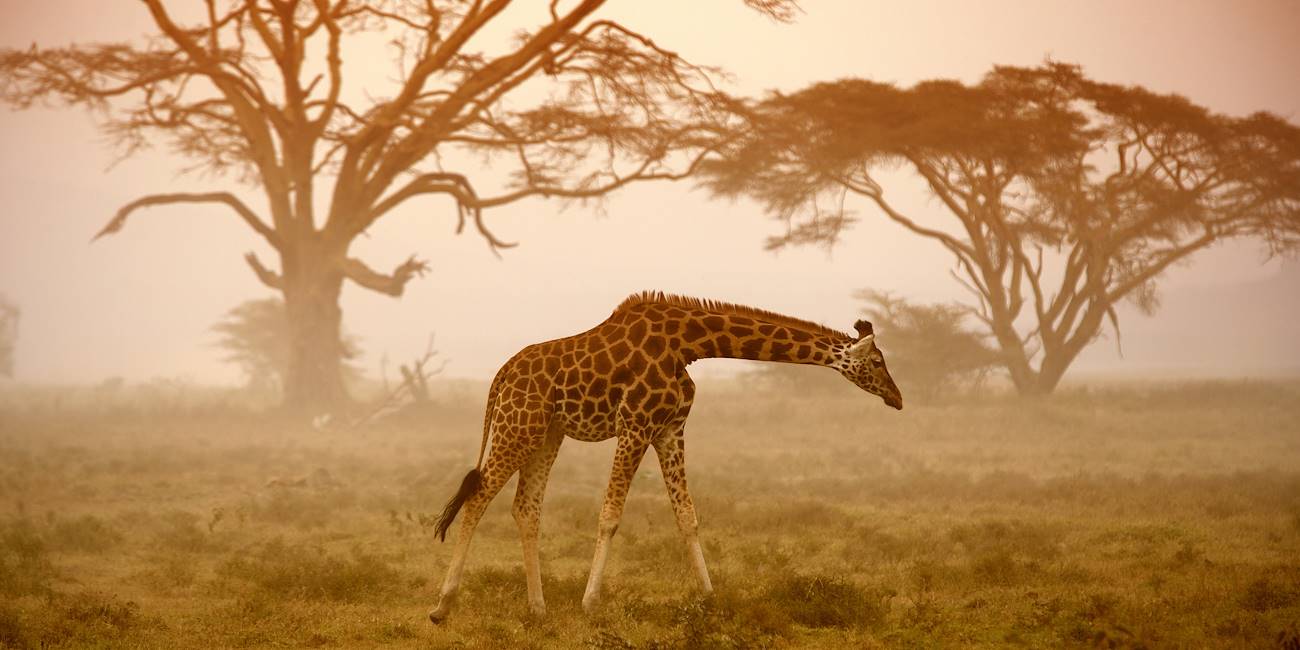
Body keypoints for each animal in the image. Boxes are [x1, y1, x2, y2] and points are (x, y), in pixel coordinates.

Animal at [427, 291, 902, 622]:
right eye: (878, 361)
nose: (897, 399)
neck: (688, 345)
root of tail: (499, 377)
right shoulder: (635, 424)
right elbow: (610, 514)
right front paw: (590, 602)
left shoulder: (671, 428)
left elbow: (687, 516)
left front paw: (710, 599)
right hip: (518, 427)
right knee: (479, 496)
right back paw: (442, 607)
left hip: (547, 434)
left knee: (525, 507)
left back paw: (538, 609)